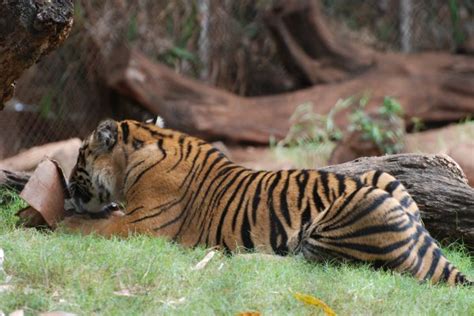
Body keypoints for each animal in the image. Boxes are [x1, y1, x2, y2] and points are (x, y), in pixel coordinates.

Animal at [62, 118, 470, 286]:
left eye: (79, 156)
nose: (65, 187)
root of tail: (419, 236)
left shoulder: (141, 224)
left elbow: (94, 225)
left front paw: (58, 220)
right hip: (383, 179)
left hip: (349, 210)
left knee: (311, 264)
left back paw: (237, 257)